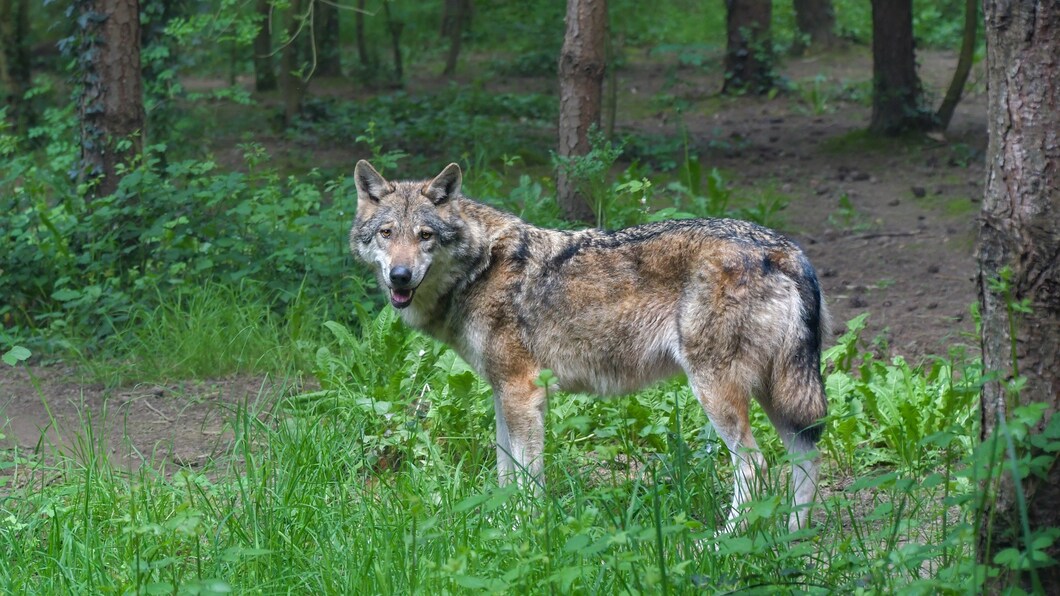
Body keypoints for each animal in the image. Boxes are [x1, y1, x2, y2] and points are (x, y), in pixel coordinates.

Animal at [351, 159, 831, 528]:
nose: (400, 277)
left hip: (718, 392)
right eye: (387, 233)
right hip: (778, 393)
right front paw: (498, 527)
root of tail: (785, 250)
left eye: (425, 235)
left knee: (756, 467)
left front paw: (524, 532)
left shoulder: (523, 393)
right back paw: (791, 537)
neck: (480, 268)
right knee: (806, 456)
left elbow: (527, 479)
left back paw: (720, 544)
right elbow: (505, 474)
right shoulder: (503, 394)